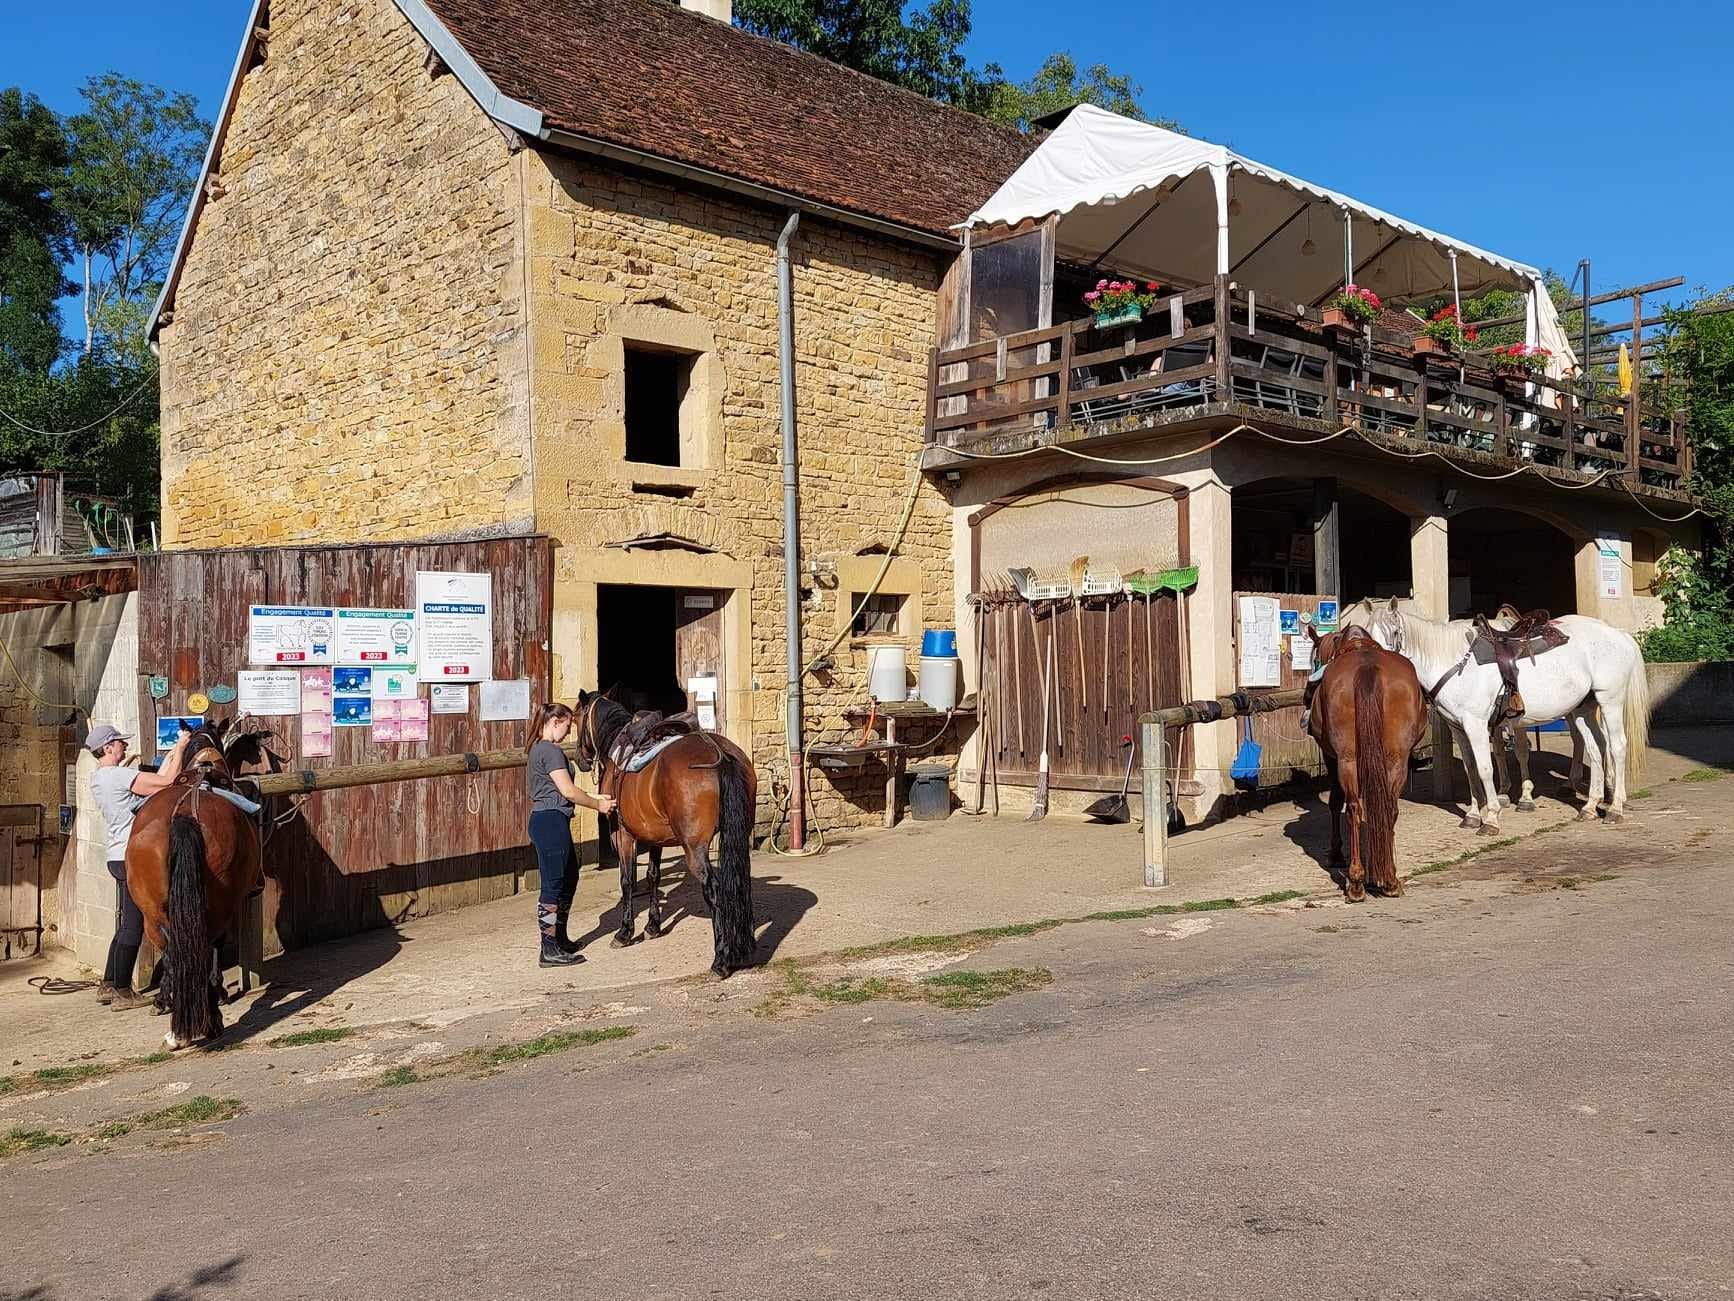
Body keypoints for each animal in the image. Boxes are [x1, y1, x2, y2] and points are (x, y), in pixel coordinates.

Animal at [125, 718, 270, 1054]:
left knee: (175, 956)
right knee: (199, 952)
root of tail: (185, 814)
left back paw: (178, 1028)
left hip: (153, 914)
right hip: (214, 910)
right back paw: (209, 1021)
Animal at [575, 693, 759, 978]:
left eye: (576, 718)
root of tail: (720, 752)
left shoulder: (624, 836)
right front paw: (652, 926)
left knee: (714, 888)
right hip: (739, 833)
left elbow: (627, 881)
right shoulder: (655, 838)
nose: (580, 758)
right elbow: (653, 876)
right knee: (739, 881)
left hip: (694, 848)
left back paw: (721, 960)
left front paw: (624, 933)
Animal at [1303, 627, 1428, 902]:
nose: (1306, 695)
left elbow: (1334, 801)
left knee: (1352, 807)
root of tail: (1367, 668)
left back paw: (1357, 881)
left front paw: (1336, 853)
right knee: (1387, 807)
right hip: (1395, 759)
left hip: (1347, 758)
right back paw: (1388, 879)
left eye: (1314, 659)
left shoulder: (1330, 756)